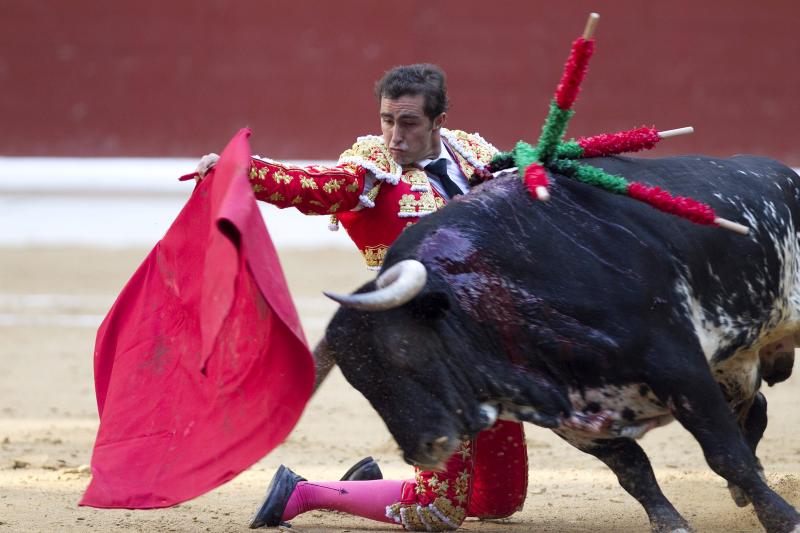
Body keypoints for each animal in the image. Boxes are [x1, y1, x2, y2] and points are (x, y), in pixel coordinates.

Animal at [322, 155, 796, 532]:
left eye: (403, 348)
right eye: (359, 381)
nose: (425, 449)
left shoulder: (677, 366)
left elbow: (724, 453)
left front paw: (782, 518)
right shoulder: (571, 415)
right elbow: (634, 470)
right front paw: (672, 524)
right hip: (732, 362)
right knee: (755, 409)